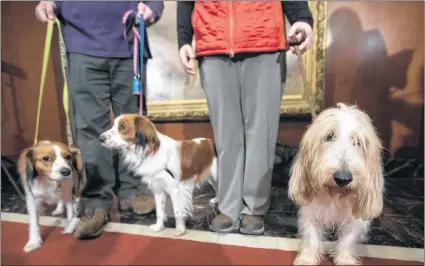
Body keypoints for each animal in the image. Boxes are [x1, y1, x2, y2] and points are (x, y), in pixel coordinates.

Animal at [288, 103, 384, 264]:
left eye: (358, 142)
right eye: (329, 136)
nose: (343, 178)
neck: (336, 196)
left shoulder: (356, 220)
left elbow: (347, 240)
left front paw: (345, 259)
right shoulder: (311, 211)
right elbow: (312, 237)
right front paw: (307, 259)